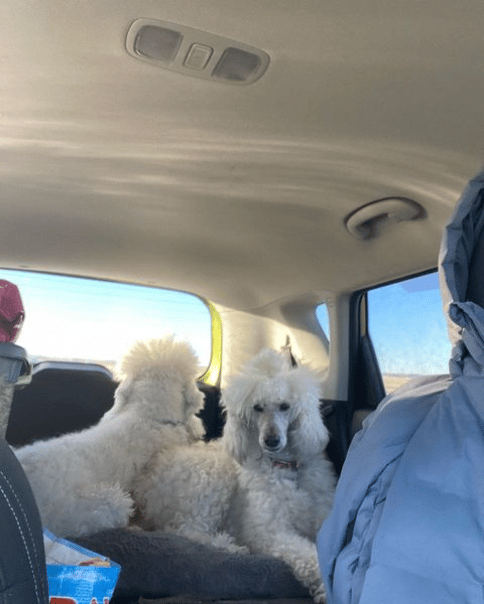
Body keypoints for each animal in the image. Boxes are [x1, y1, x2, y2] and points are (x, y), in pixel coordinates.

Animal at [134, 348, 336, 602]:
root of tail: (146, 479)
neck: (285, 467)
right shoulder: (268, 531)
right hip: (212, 475)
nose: (271, 440)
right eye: (257, 407)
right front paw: (324, 584)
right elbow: (307, 554)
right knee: (186, 531)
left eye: (284, 406)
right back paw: (227, 545)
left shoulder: (320, 516)